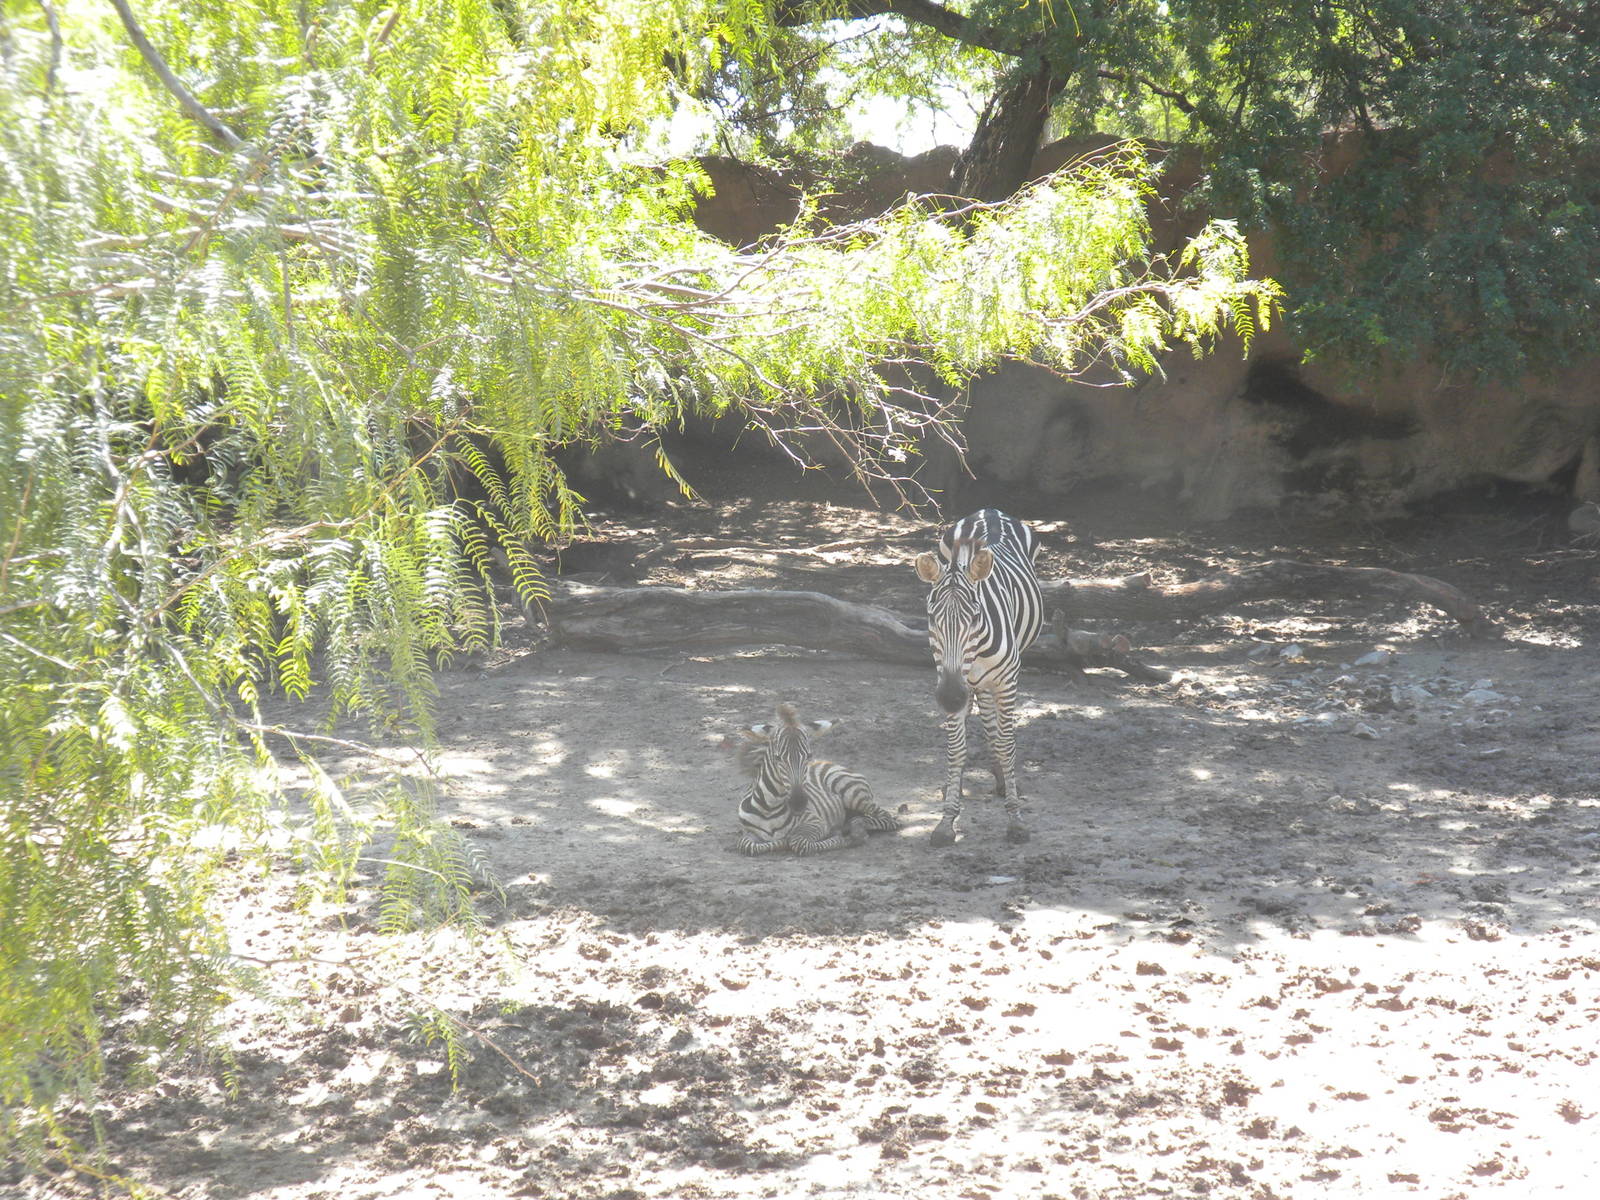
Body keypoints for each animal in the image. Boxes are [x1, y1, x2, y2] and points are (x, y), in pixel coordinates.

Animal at [734, 703, 900, 856]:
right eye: (778, 757)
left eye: (809, 755)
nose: (799, 804)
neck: (769, 809)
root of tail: (831, 763)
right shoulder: (748, 832)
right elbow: (746, 845)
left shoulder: (816, 822)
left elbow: (798, 842)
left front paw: (843, 838)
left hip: (853, 794)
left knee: (888, 819)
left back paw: (855, 827)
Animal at [913, 508, 1044, 846]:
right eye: (931, 617)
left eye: (975, 617)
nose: (950, 698)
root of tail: (991, 511)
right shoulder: (948, 676)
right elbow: (956, 749)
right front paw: (947, 820)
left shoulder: (1007, 681)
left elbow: (1007, 743)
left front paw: (1015, 819)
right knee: (985, 718)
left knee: (994, 725)